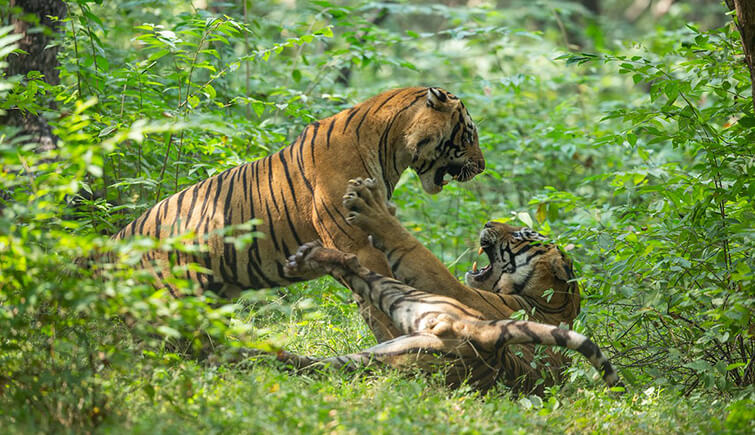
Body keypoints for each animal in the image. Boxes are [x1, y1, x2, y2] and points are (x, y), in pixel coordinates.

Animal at [111, 87, 484, 342]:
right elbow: (382, 297)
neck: (391, 149)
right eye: (469, 134)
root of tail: (116, 241)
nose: (482, 167)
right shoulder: (358, 244)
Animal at [278, 178, 620, 396]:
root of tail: (487, 339)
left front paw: (375, 215)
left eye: (520, 234)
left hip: (413, 310)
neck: (553, 305)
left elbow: (413, 250)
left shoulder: (455, 289)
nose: (488, 223)